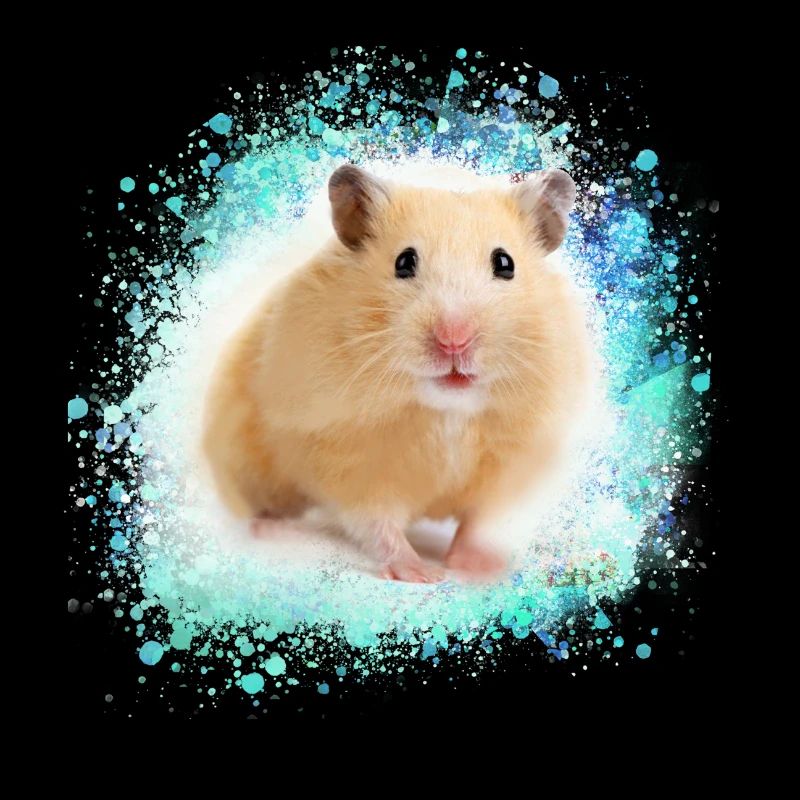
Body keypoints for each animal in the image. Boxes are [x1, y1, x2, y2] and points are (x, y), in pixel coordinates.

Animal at [202, 163, 593, 583]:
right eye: (404, 262)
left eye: (506, 264)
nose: (454, 340)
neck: (447, 409)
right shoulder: (345, 457)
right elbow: (378, 522)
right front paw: (424, 574)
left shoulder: (510, 461)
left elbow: (478, 521)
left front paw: (481, 568)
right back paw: (273, 530)